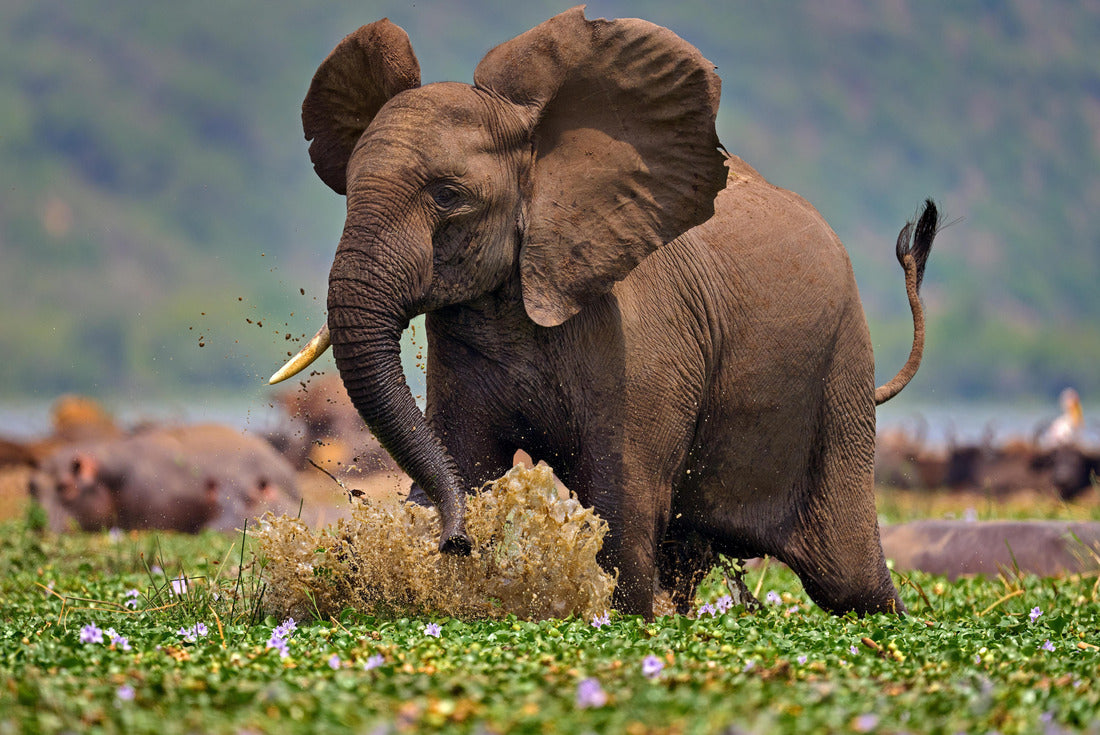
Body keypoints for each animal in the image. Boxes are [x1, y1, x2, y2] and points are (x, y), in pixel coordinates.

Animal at [269, 8, 942, 618]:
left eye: (447, 196)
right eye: (349, 188)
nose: (456, 543)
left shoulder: (641, 333)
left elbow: (623, 502)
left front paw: (630, 619)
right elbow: (463, 457)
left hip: (839, 374)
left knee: (848, 579)